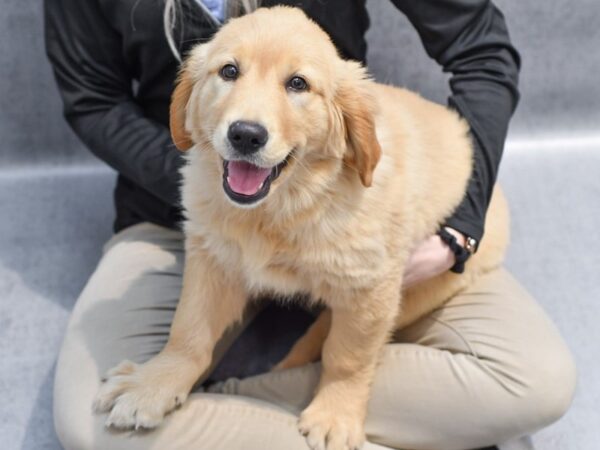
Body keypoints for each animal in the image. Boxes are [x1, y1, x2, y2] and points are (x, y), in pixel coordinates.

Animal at [94, 6, 506, 450]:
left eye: (298, 84)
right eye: (229, 71)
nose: (245, 135)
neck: (282, 206)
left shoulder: (371, 288)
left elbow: (348, 357)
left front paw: (336, 415)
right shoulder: (213, 258)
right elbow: (189, 328)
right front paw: (154, 384)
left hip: (422, 288)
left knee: (328, 337)